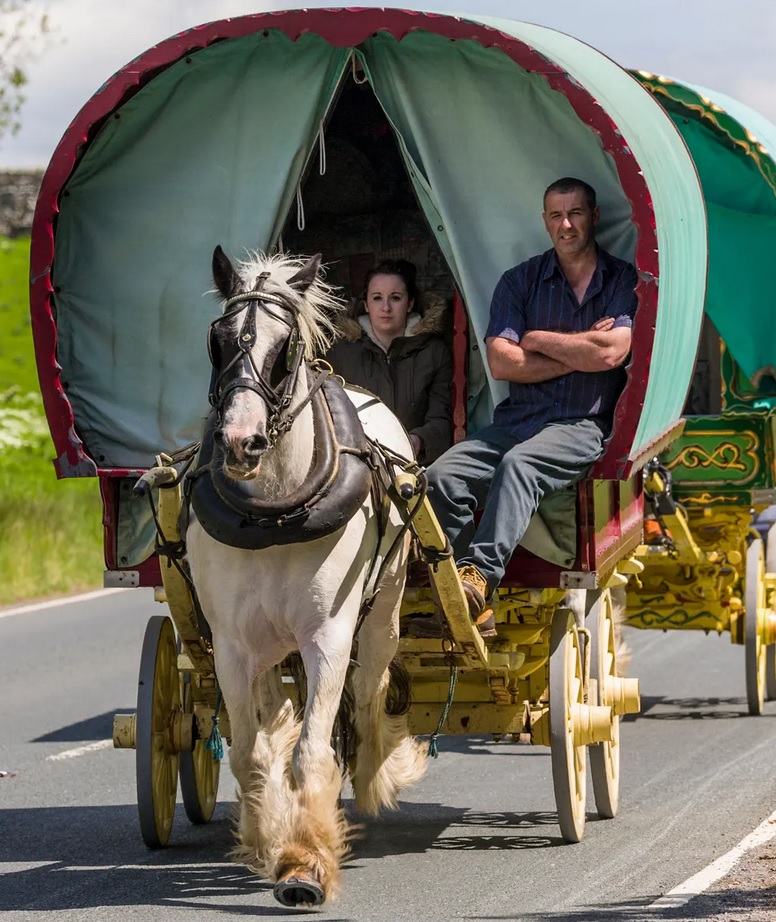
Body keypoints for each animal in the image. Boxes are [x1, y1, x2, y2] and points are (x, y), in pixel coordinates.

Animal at [185, 244, 428, 904]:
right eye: (218, 340)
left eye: (284, 346)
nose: (239, 442)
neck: (273, 511)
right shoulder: (230, 645)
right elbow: (250, 752)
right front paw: (267, 839)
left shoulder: (327, 635)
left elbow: (314, 752)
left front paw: (305, 863)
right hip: (268, 646)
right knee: (272, 716)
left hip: (382, 615)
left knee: (369, 696)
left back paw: (375, 776)